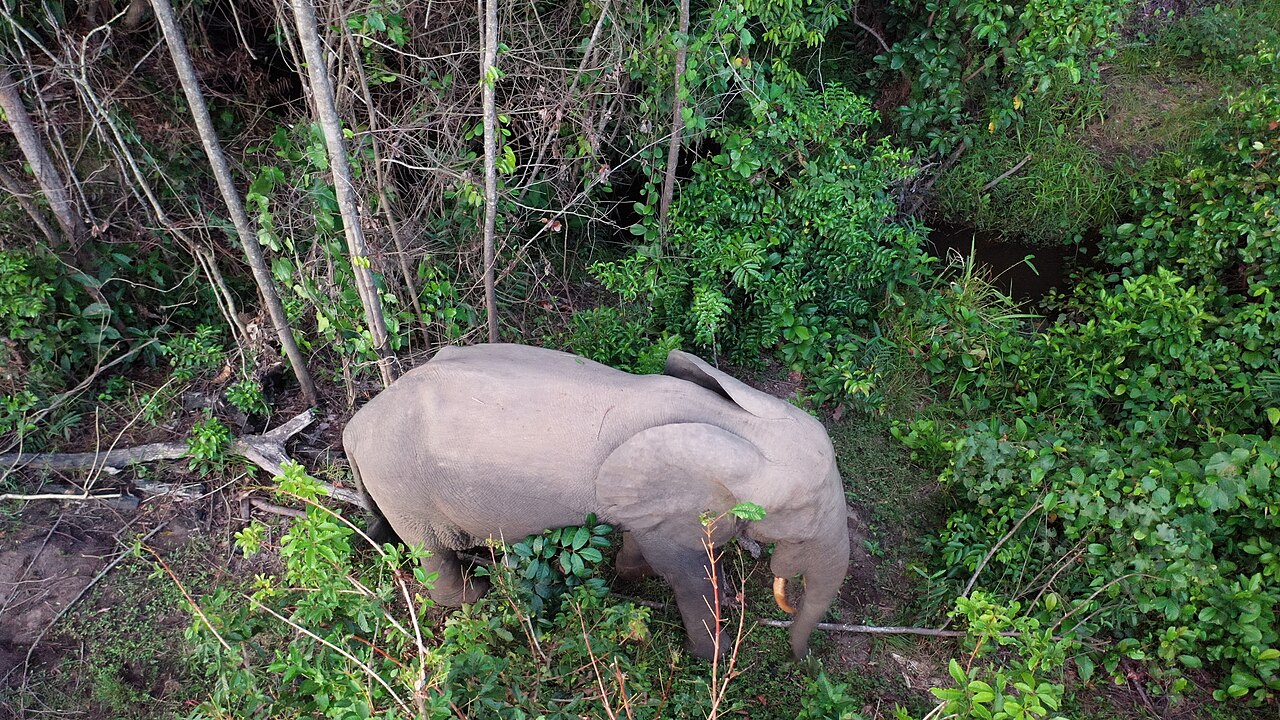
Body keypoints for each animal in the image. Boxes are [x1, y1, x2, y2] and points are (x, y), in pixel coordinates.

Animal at [342, 343, 850, 660]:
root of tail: (356, 424)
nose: (801, 661)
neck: (737, 425)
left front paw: (629, 576)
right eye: (800, 518)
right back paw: (475, 594)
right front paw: (715, 657)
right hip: (402, 485)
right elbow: (688, 575)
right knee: (432, 550)